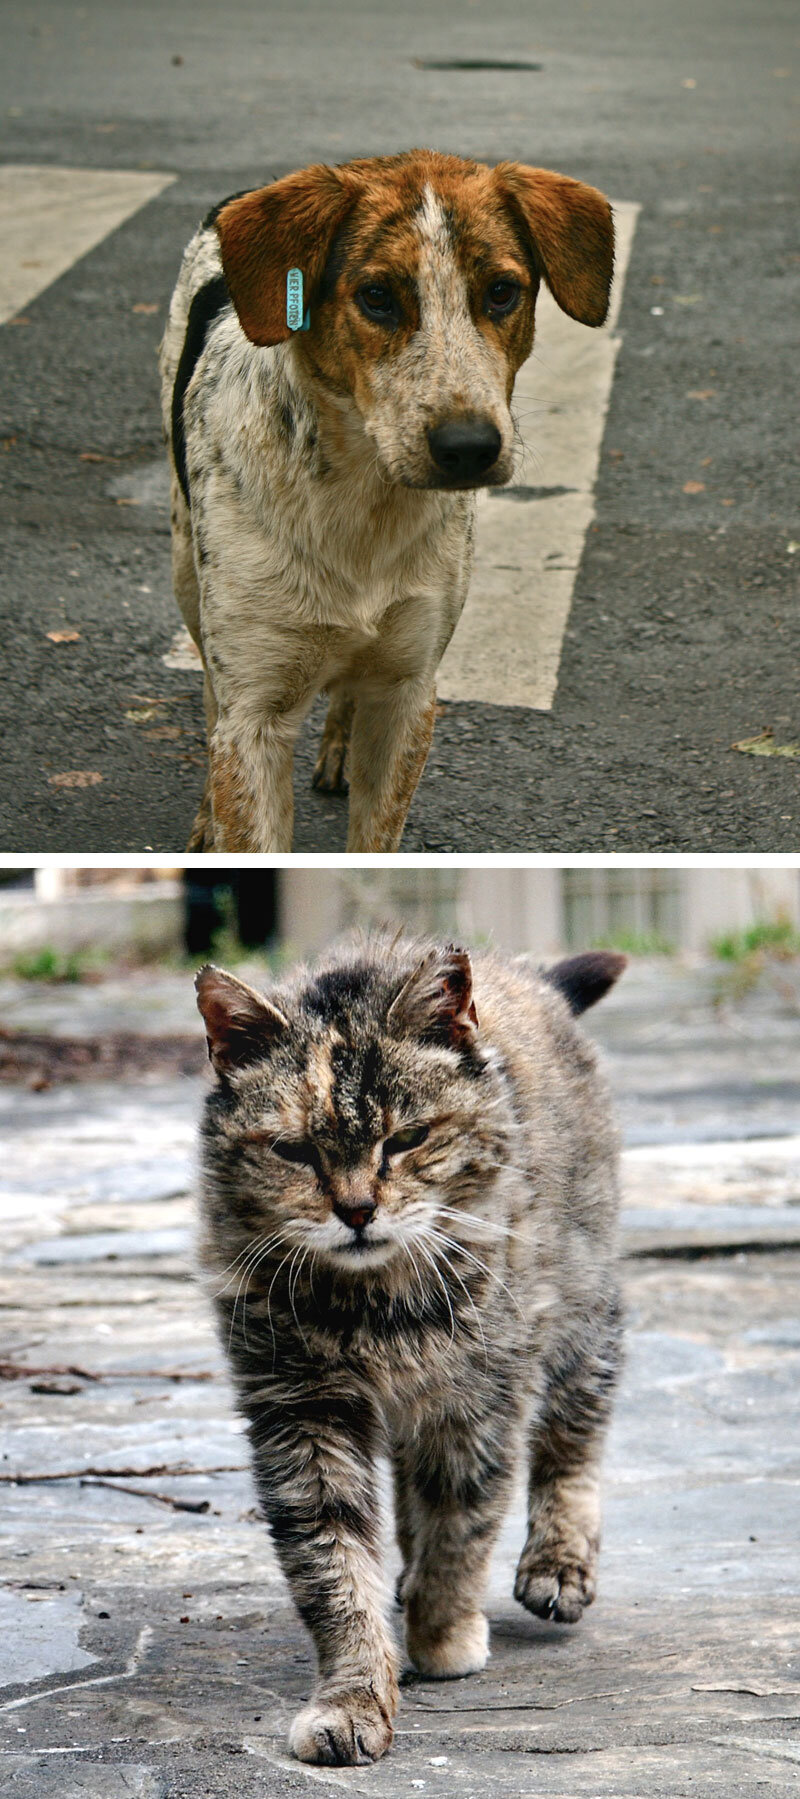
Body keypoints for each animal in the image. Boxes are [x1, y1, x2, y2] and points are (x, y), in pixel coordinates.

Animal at [160, 149, 611, 849]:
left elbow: (374, 838)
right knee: (209, 688)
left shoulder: (409, 692)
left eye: (501, 291)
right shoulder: (254, 713)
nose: (469, 447)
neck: (362, 502)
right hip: (187, 567)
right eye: (376, 297)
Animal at [195, 935, 622, 1763]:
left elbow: (464, 1521)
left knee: (574, 1438)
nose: (357, 1209)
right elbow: (332, 1561)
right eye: (294, 1151)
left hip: (583, 1308)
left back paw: (557, 1562)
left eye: (406, 1138)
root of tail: (532, 977)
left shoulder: (478, 1397)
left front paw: (444, 1634)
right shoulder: (302, 1407)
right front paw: (355, 1695)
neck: (375, 1304)